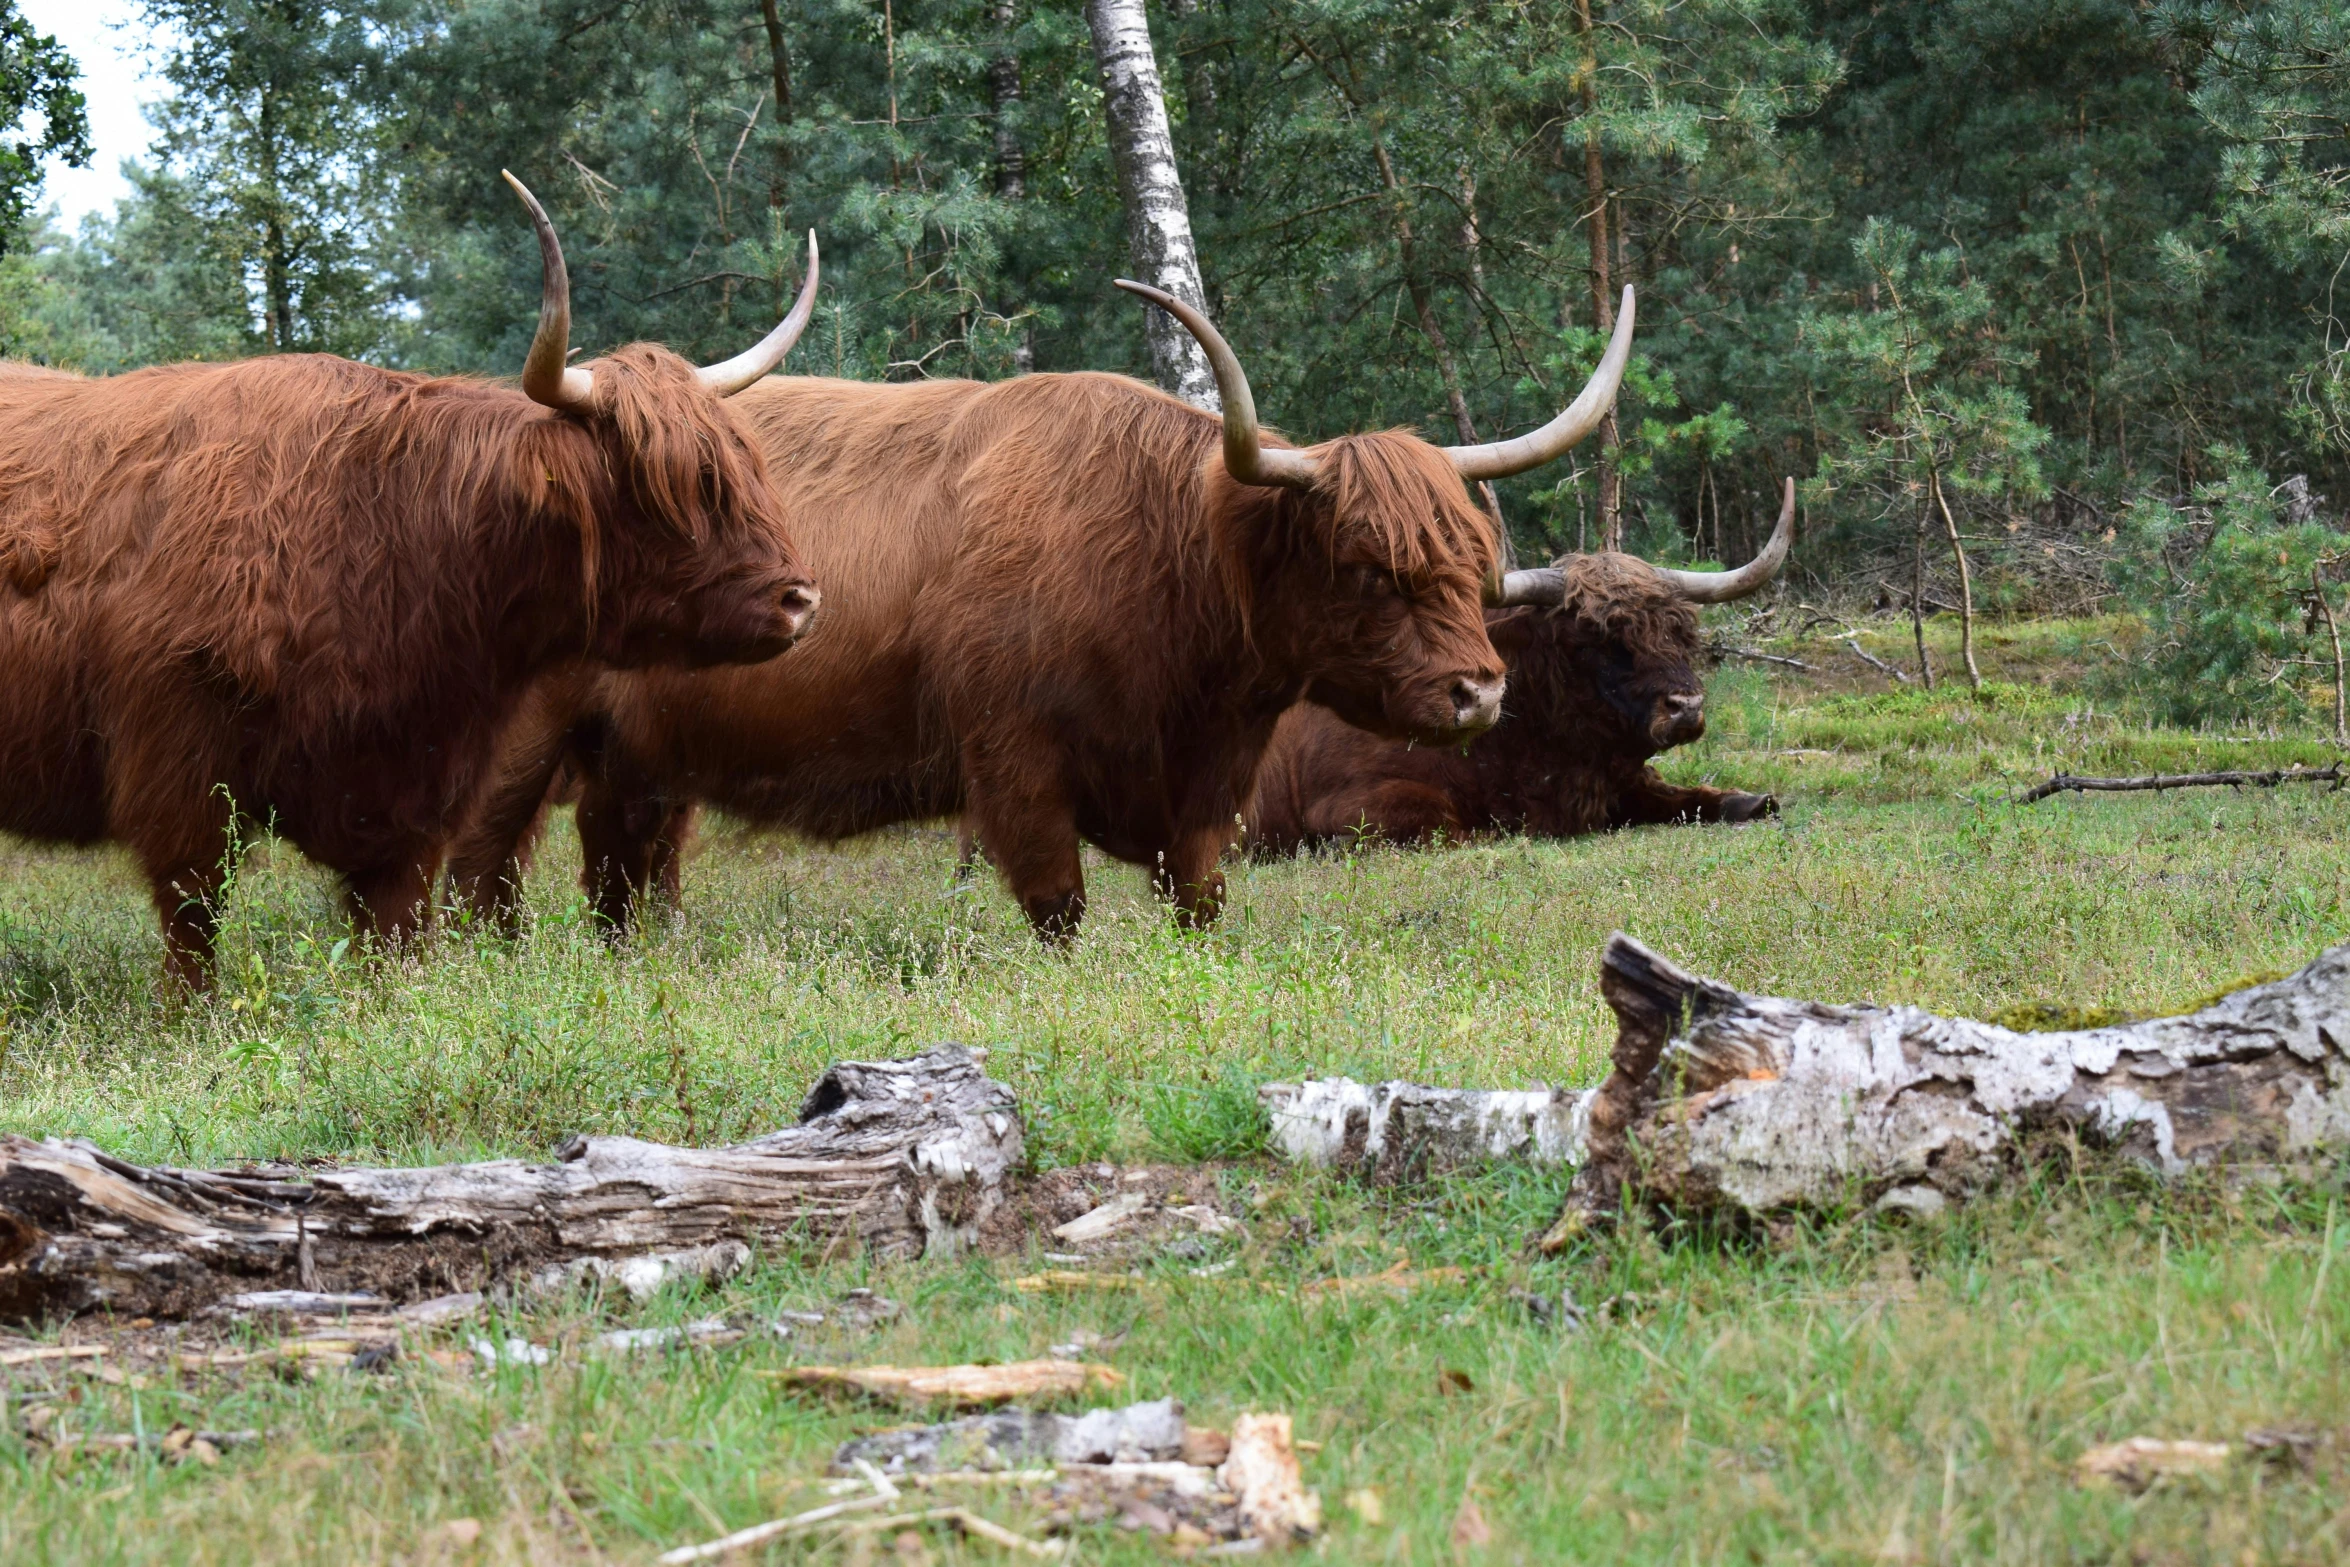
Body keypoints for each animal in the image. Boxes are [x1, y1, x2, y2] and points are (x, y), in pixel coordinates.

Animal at [0, 177, 827, 986]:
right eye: (673, 488)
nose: (800, 601)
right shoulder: (180, 768)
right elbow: (194, 919)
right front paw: (191, 1014)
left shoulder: (411, 803)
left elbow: (394, 933)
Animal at [1250, 481, 1795, 859]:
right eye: (1593, 639)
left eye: (1682, 631)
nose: (1686, 707)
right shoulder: (1357, 805)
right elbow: (1457, 830)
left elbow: (1697, 796)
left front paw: (1749, 803)